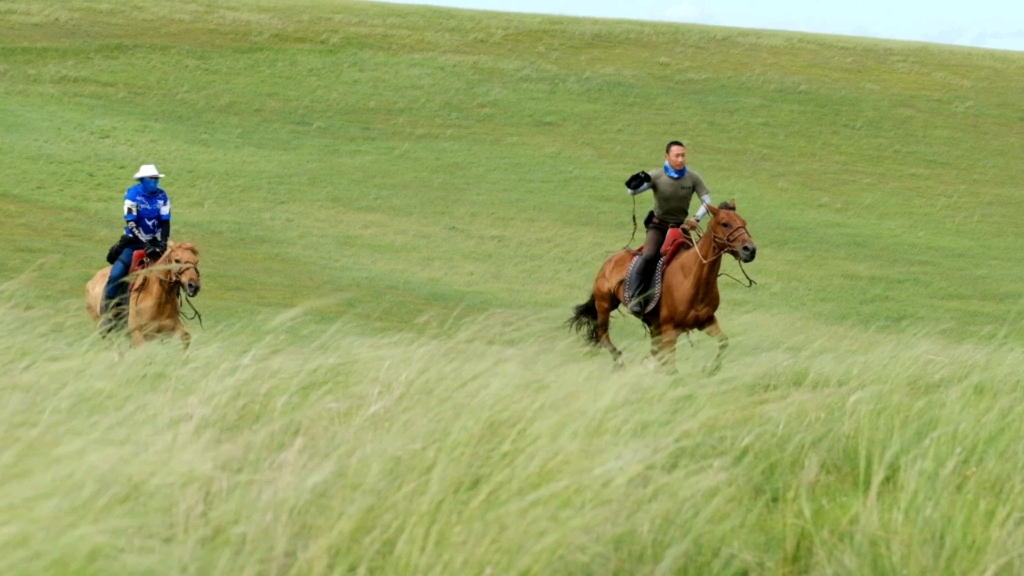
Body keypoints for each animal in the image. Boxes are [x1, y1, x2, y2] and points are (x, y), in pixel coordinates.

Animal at [573, 200, 757, 373]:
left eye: (744, 222)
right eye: (725, 224)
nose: (750, 249)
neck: (693, 280)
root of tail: (609, 262)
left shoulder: (707, 321)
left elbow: (723, 342)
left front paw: (712, 369)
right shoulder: (670, 330)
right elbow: (671, 367)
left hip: (651, 321)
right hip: (604, 304)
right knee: (603, 335)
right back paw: (620, 363)